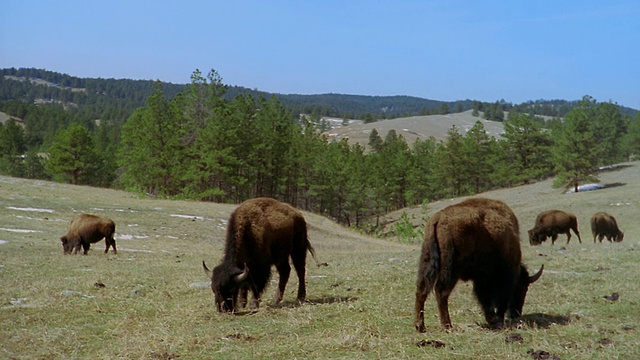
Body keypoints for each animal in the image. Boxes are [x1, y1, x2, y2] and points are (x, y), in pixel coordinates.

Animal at [412, 198, 544, 334]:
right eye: (523, 288)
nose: (516, 313)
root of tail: (438, 218)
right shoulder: (504, 276)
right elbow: (499, 298)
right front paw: (497, 319)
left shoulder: (481, 278)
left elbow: (484, 298)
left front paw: (491, 319)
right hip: (450, 270)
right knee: (441, 292)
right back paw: (447, 326)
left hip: (427, 261)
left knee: (422, 290)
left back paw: (420, 327)